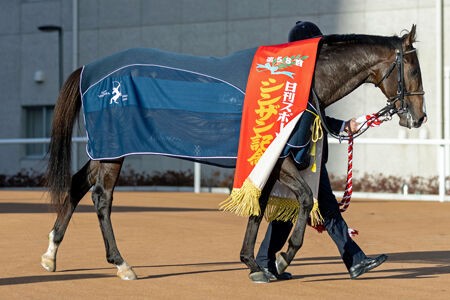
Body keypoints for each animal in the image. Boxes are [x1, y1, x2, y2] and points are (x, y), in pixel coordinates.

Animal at [41, 25, 426, 282]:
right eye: (413, 68)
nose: (419, 117)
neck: (300, 83)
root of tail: (89, 70)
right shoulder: (280, 158)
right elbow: (303, 200)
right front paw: (282, 259)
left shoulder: (266, 162)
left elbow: (258, 207)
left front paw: (254, 264)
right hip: (113, 150)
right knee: (102, 198)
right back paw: (122, 264)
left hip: (104, 150)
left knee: (77, 185)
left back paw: (51, 255)